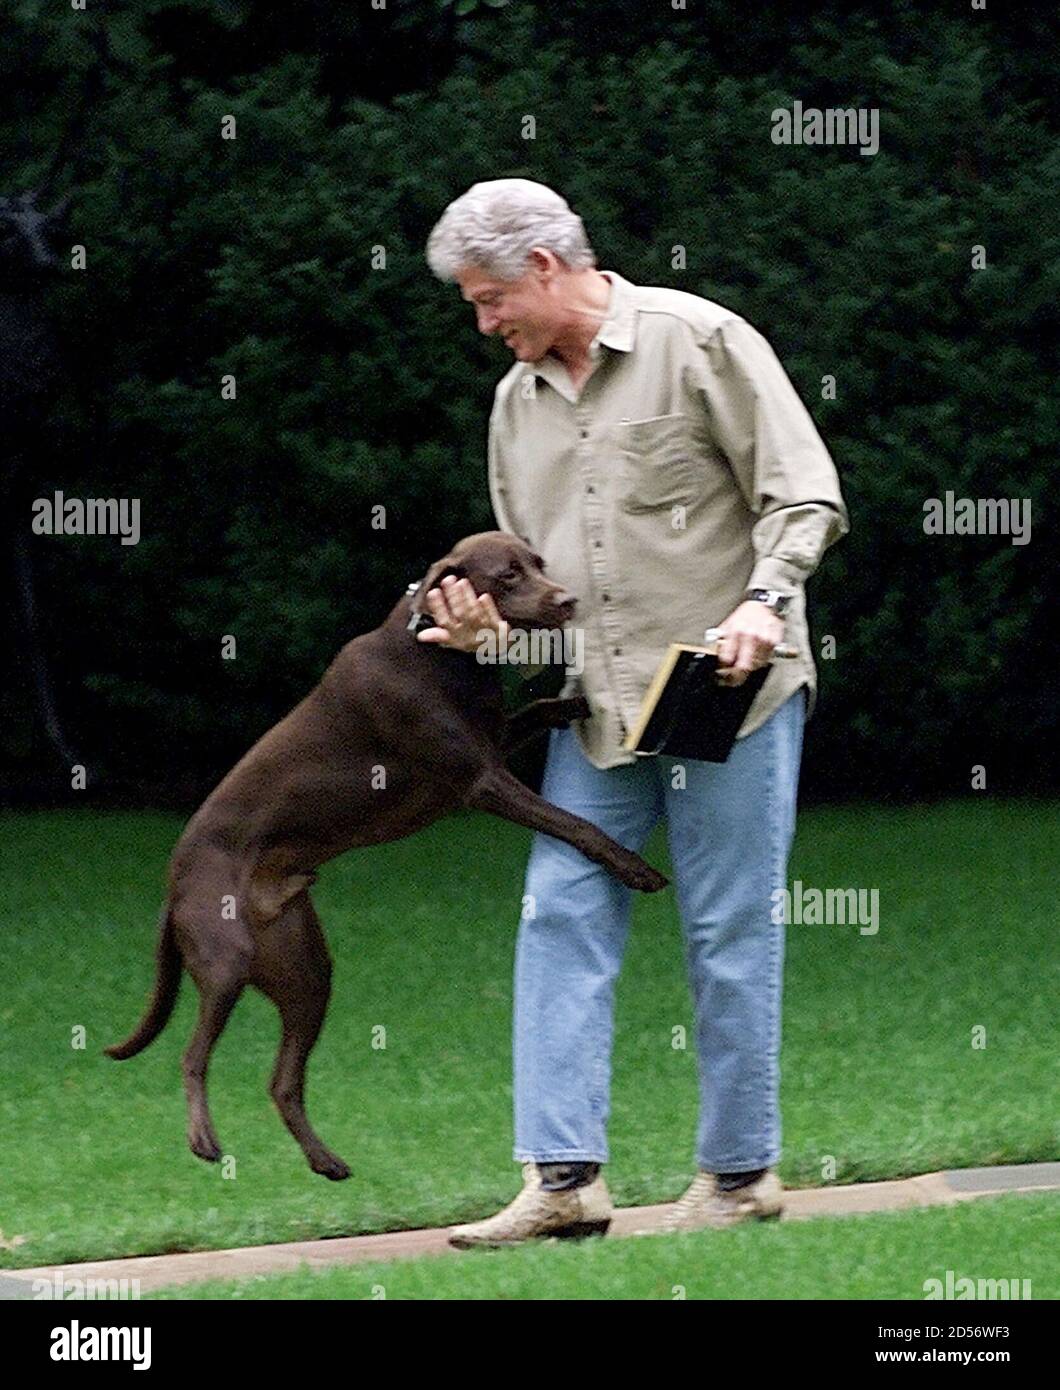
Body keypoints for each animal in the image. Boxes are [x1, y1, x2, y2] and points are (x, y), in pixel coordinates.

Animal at [109, 528, 672, 1173]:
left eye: (539, 564)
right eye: (506, 574)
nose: (568, 600)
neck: (443, 654)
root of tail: (173, 882)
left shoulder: (492, 746)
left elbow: (535, 711)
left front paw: (577, 705)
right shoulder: (480, 781)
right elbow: (578, 826)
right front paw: (635, 868)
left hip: (308, 972)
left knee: (282, 1081)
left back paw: (325, 1161)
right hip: (225, 958)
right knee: (193, 1055)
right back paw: (204, 1139)